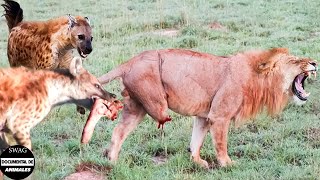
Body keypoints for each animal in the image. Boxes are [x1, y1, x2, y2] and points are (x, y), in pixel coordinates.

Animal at [97, 47, 318, 167]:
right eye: (294, 60)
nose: (315, 62)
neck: (257, 78)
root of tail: (129, 61)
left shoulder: (204, 116)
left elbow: (196, 140)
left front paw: (196, 161)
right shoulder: (219, 116)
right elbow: (221, 143)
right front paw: (227, 164)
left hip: (136, 108)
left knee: (118, 132)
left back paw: (112, 162)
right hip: (154, 102)